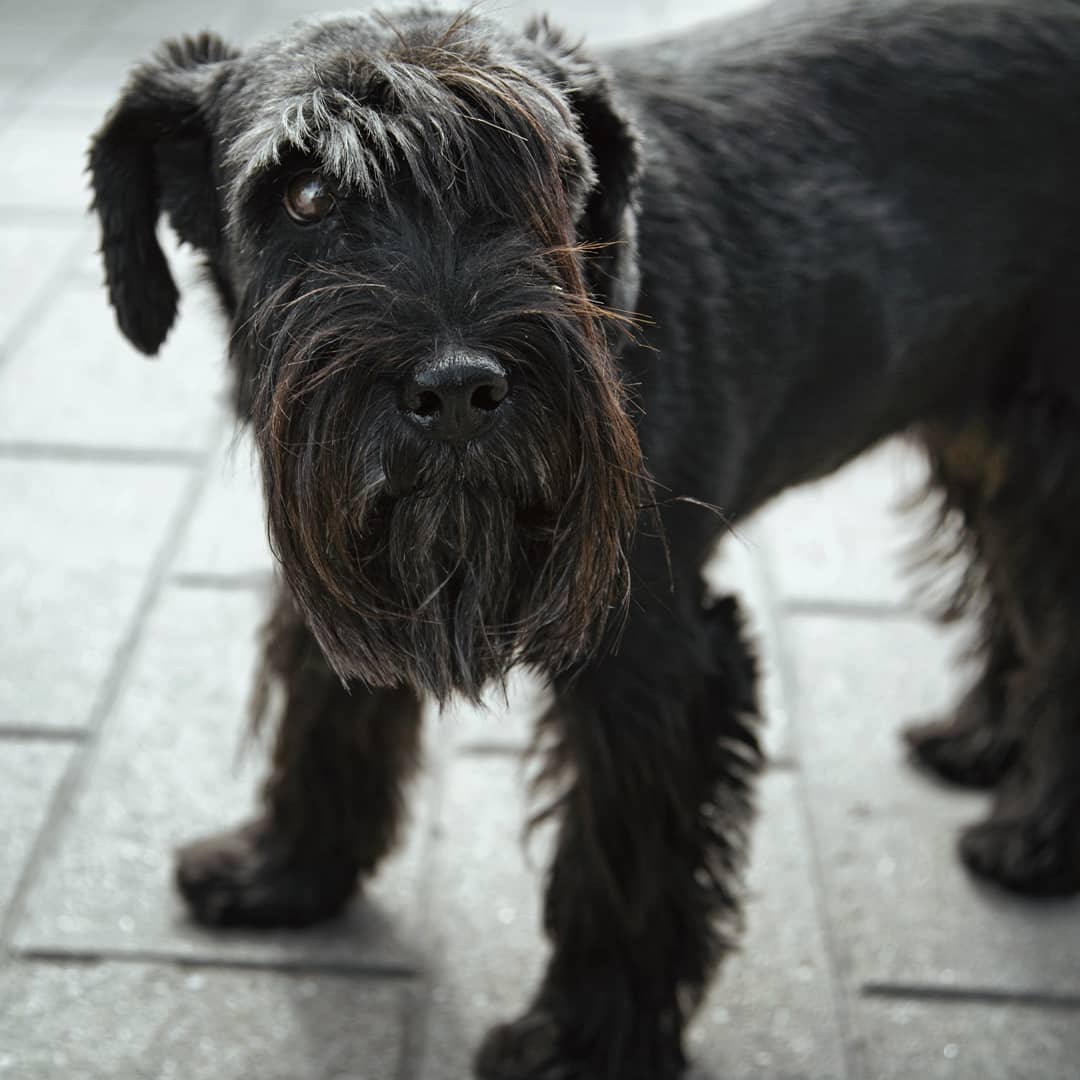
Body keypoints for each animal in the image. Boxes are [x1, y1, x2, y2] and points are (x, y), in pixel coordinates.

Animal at [90, 0, 1080, 1075]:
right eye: (305, 194)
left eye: (546, 177)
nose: (458, 391)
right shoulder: (341, 555)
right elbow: (325, 704)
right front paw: (288, 869)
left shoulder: (648, 654)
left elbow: (622, 859)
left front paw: (583, 1040)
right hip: (992, 441)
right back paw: (983, 743)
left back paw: (1036, 839)